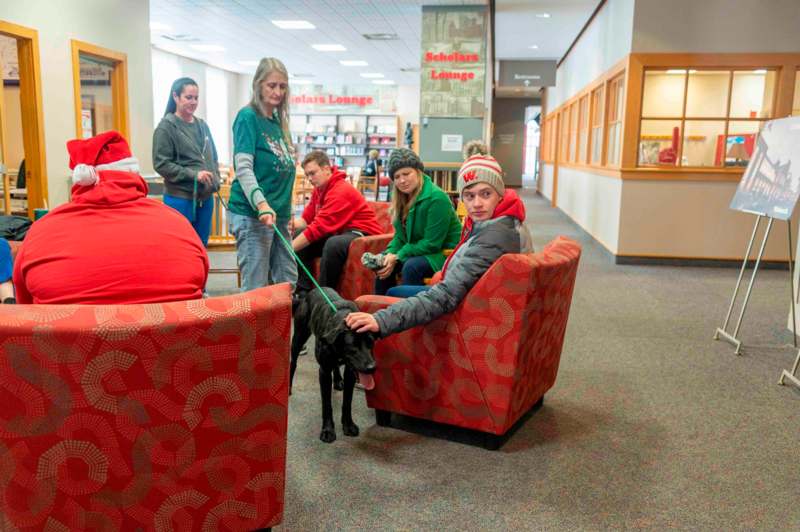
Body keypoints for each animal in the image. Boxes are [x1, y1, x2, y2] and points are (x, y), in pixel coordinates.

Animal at [290, 288, 376, 442]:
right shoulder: (324, 371)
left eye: (370, 342)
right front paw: (328, 430)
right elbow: (327, 404)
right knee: (293, 362)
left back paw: (337, 380)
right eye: (353, 346)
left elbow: (347, 401)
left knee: (335, 366)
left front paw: (348, 425)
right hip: (298, 338)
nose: (372, 367)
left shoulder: (350, 372)